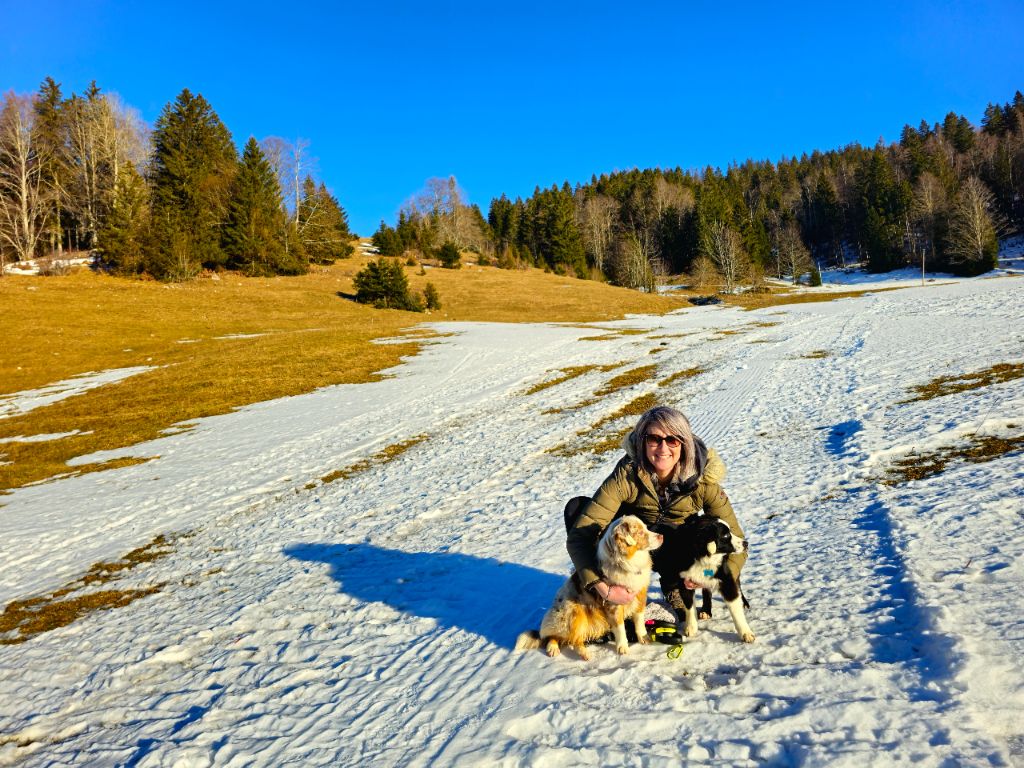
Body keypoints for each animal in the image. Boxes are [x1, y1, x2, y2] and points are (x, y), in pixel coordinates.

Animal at [512, 518, 663, 663]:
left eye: (646, 528)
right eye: (640, 532)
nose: (661, 536)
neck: (627, 562)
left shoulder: (639, 595)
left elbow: (639, 621)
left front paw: (643, 638)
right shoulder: (614, 603)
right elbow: (620, 628)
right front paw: (623, 648)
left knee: (573, 638)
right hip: (574, 613)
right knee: (562, 638)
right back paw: (560, 649)